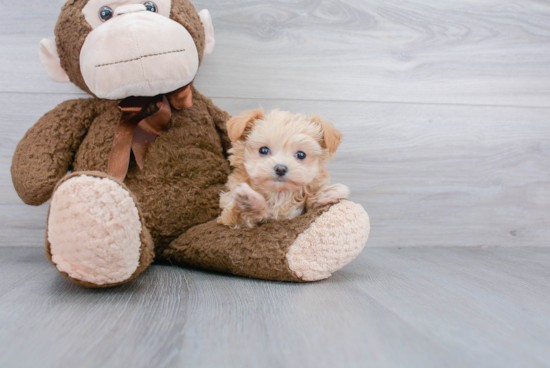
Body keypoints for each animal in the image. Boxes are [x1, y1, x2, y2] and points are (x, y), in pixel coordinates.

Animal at [219, 108, 352, 229]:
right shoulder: (229, 217)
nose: (281, 169)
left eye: (301, 154)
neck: (279, 194)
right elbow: (241, 215)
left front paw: (328, 192)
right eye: (263, 150)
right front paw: (249, 201)